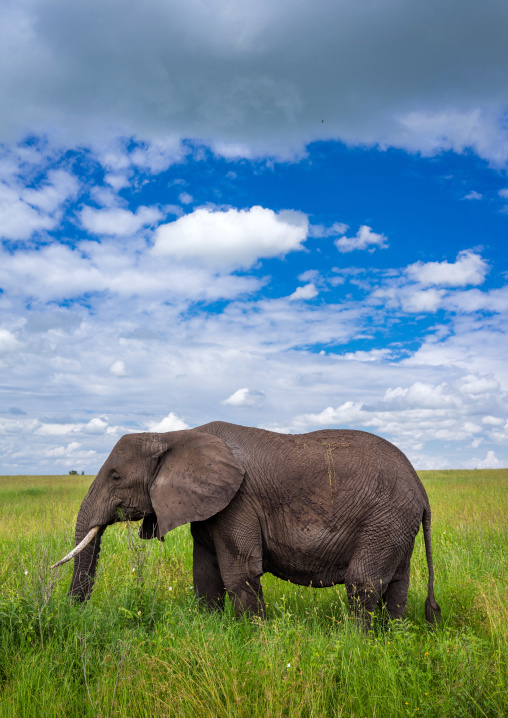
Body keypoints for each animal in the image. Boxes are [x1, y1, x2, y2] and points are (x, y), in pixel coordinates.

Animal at [52, 422, 441, 627]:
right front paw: (210, 631)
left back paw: (355, 642)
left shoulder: (238, 502)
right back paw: (392, 640)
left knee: (363, 582)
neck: (173, 435)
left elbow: (239, 572)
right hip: (395, 524)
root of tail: (422, 490)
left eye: (116, 476)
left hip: (385, 518)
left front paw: (253, 638)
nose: (72, 614)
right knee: (397, 584)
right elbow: (205, 573)